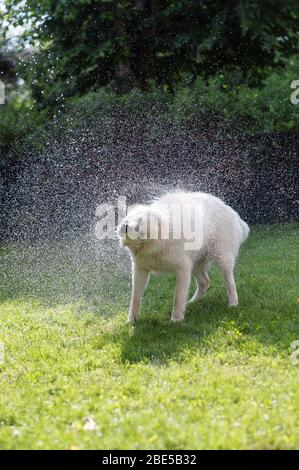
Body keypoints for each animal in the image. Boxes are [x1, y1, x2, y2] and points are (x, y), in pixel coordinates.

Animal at [118, 190, 250, 320]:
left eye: (139, 223)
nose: (125, 225)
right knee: (205, 282)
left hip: (223, 259)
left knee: (229, 281)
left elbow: (178, 297)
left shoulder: (183, 268)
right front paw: (132, 320)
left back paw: (233, 303)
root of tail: (233, 212)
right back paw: (192, 302)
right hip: (196, 263)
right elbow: (135, 297)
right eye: (130, 219)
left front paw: (176, 320)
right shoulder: (140, 270)